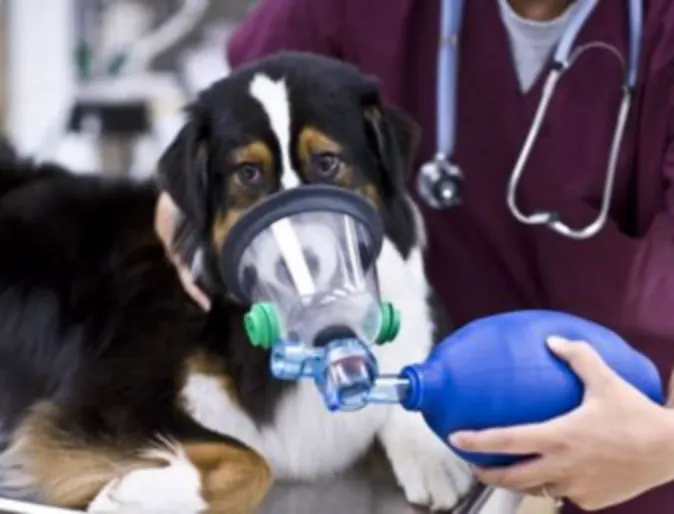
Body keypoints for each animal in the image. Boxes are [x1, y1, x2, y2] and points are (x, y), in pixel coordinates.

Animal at [0, 52, 516, 512]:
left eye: (327, 162)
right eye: (247, 173)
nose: (298, 264)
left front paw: (433, 453)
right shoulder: (102, 399)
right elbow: (251, 461)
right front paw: (139, 495)